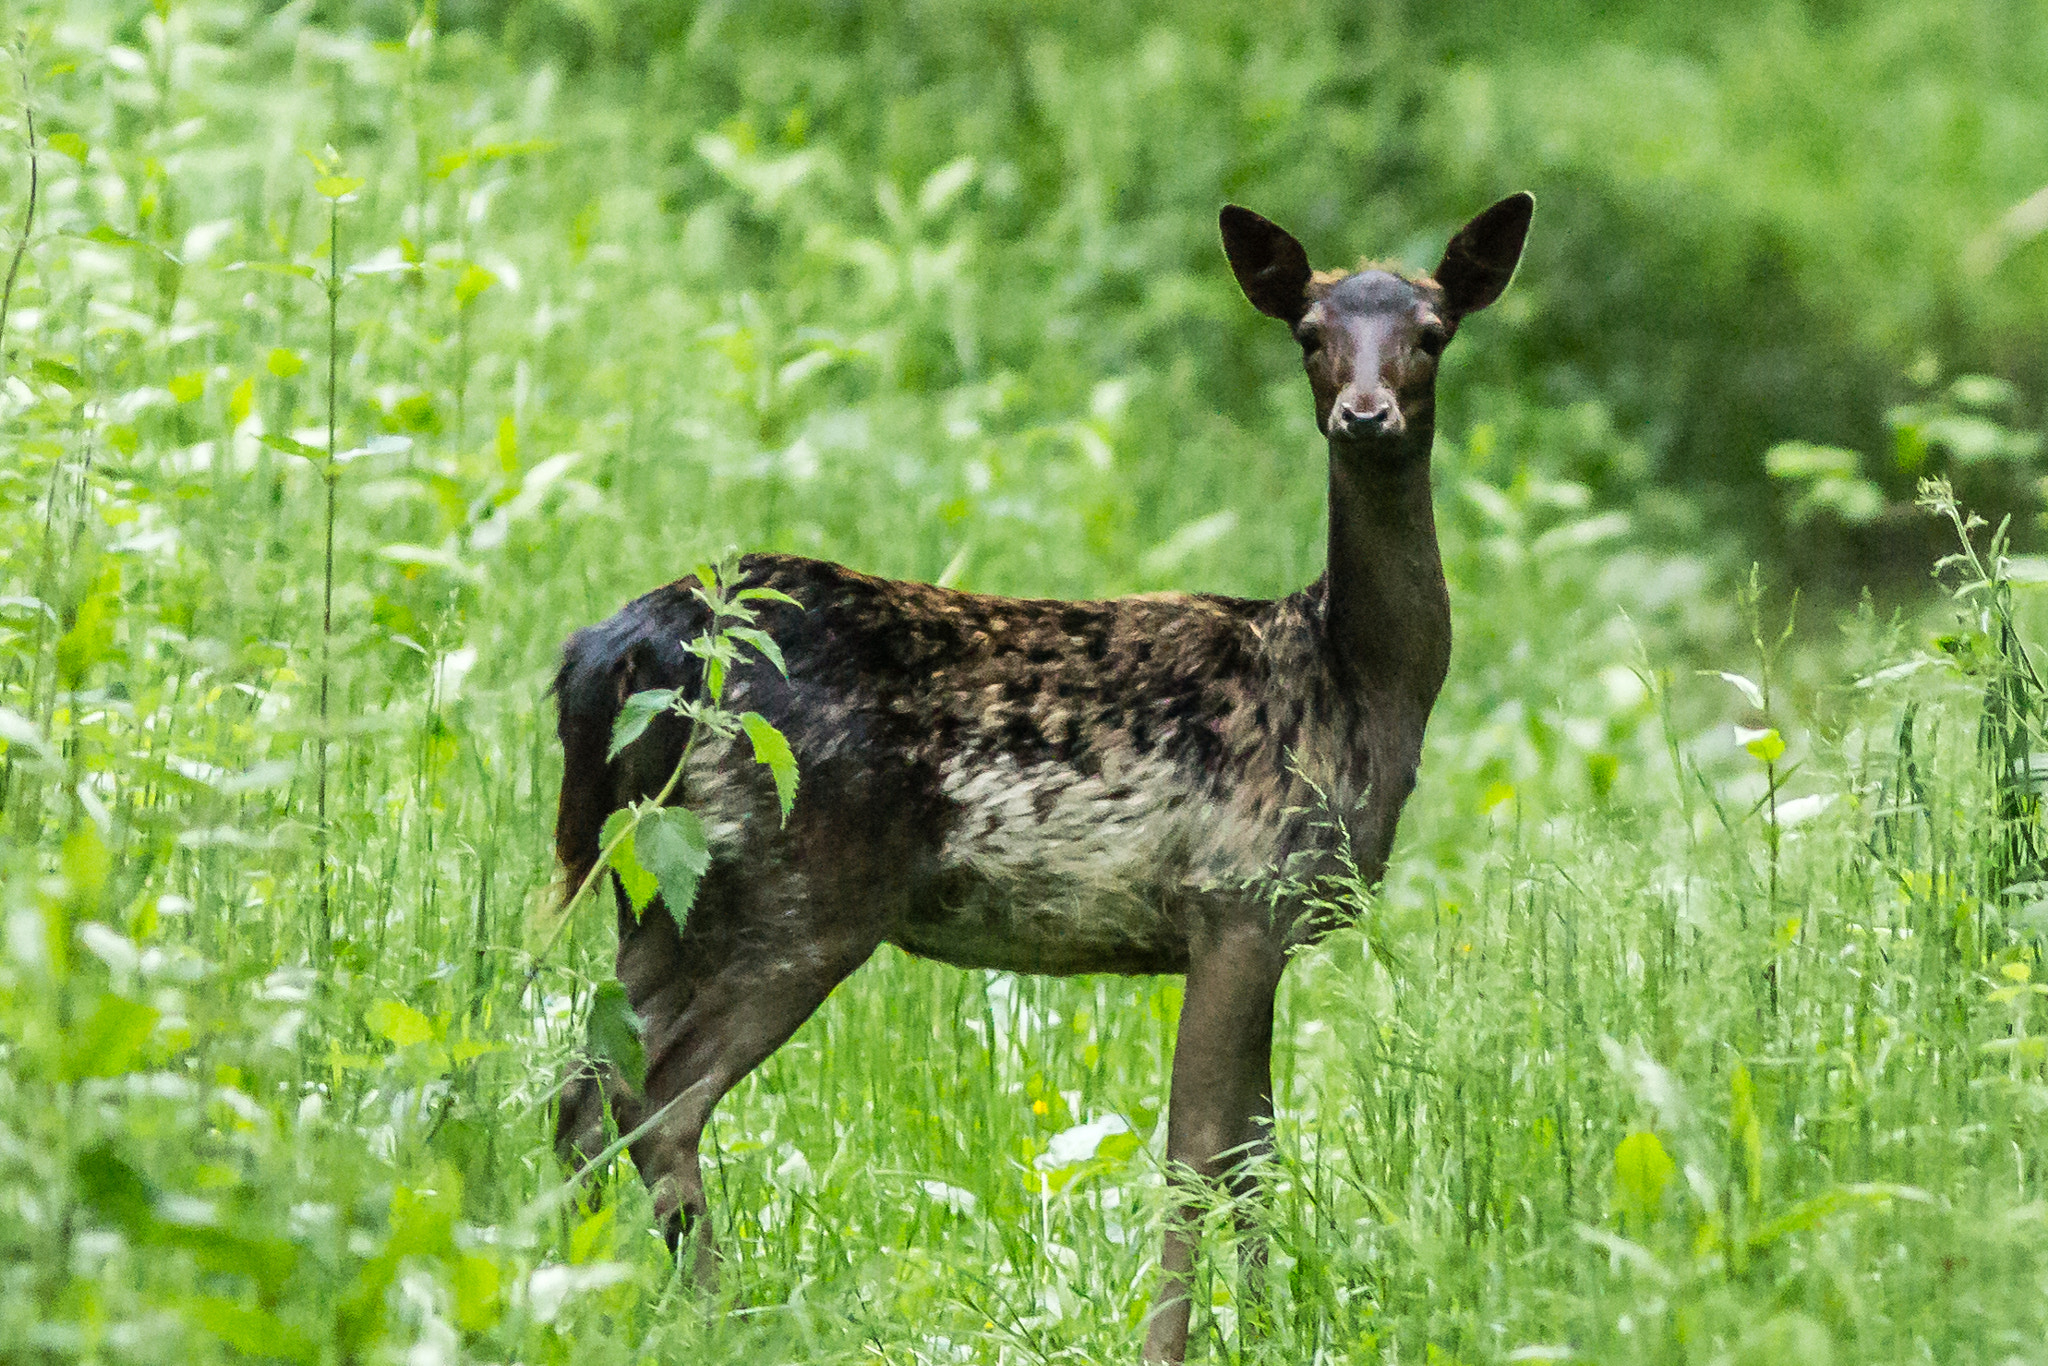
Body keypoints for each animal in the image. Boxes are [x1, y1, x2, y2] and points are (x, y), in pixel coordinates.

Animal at [550, 192, 1533, 1361]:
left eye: (1432, 333)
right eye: (1308, 335)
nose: (1365, 413)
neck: (1350, 683)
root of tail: (612, 653)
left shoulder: (1263, 919)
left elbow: (1254, 1151)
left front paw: (1263, 1333)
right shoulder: (1235, 893)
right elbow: (1196, 1153)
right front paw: (1171, 1345)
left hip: (658, 890)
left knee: (585, 1079)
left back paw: (572, 1285)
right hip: (798, 885)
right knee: (659, 1097)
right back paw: (717, 1318)